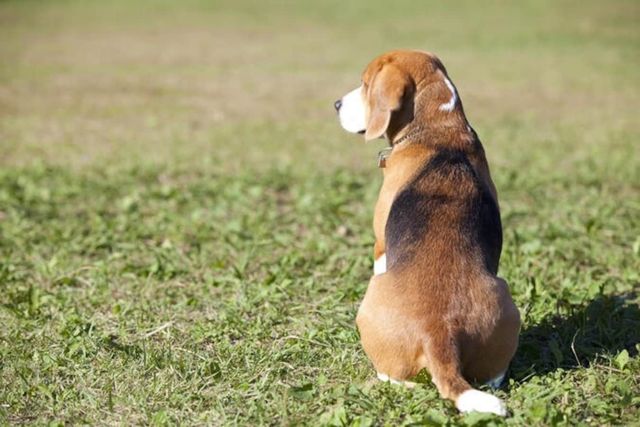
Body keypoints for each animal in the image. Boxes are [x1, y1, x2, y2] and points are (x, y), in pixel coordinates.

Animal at [336, 49, 520, 414]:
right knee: (493, 375)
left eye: (365, 84)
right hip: (506, 300)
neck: (439, 128)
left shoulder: (380, 244)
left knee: (395, 376)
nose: (336, 104)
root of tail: (439, 334)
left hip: (370, 300)